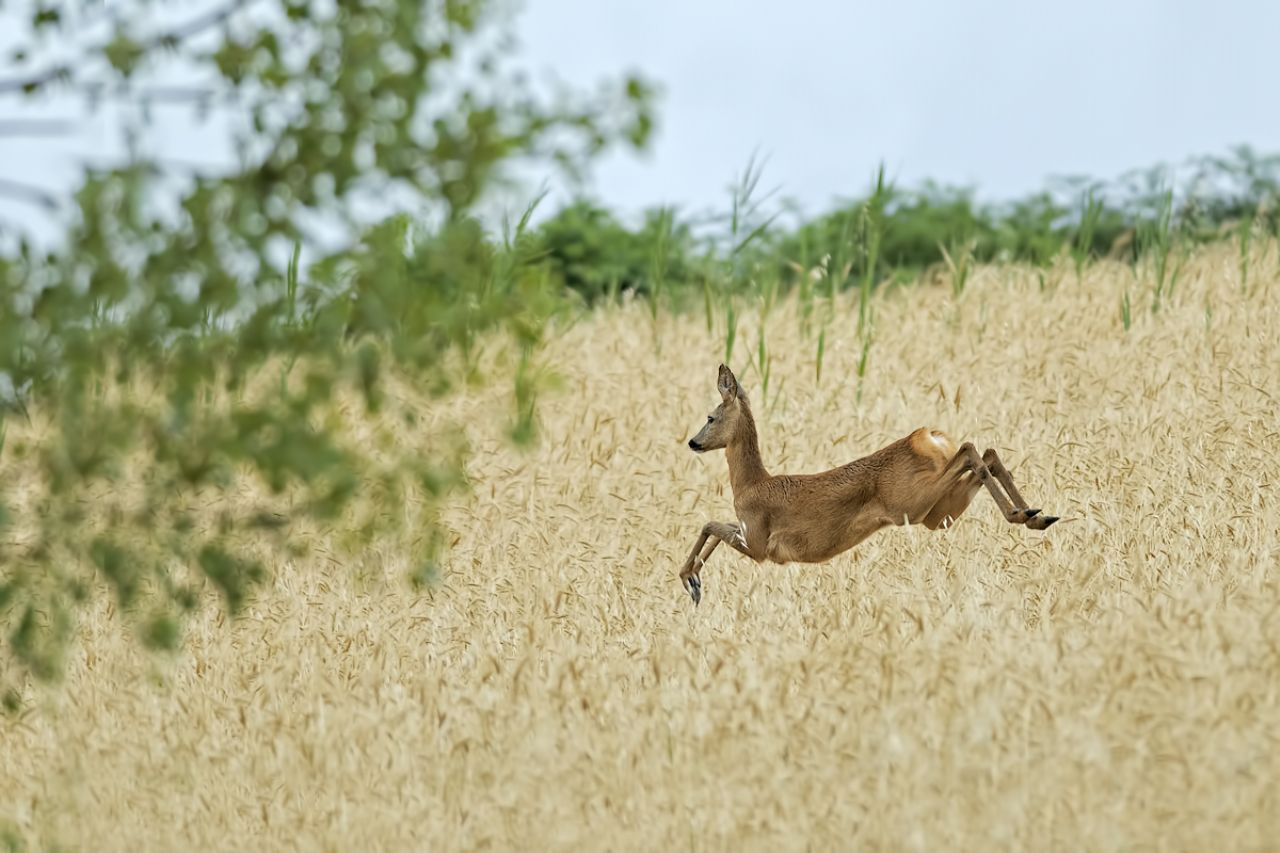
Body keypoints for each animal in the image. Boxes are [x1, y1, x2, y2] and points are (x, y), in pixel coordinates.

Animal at [680, 361, 1059, 601]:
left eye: (710, 417)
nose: (693, 442)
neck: (751, 484)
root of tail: (930, 438)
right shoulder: (751, 536)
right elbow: (713, 528)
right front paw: (695, 580)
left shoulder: (760, 544)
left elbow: (709, 524)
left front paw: (689, 580)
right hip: (940, 513)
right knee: (987, 453)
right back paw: (1036, 515)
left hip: (913, 503)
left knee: (970, 451)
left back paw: (1027, 515)